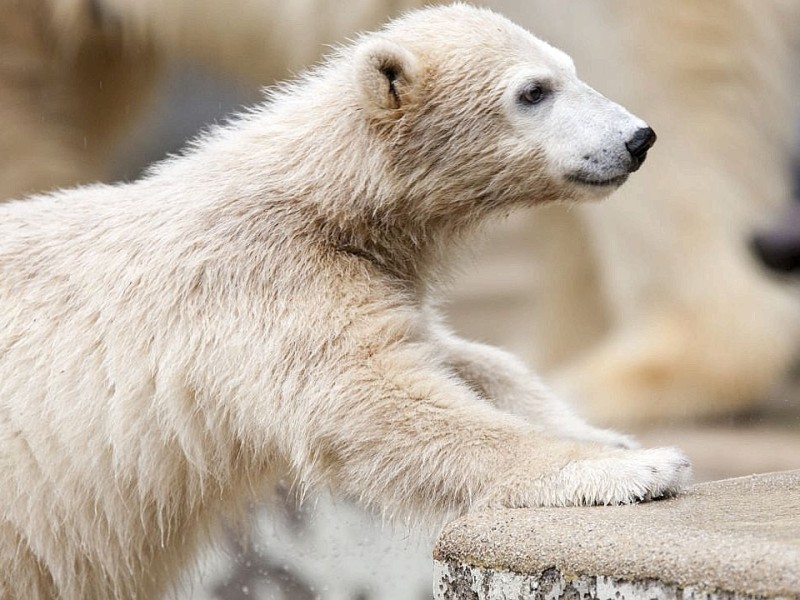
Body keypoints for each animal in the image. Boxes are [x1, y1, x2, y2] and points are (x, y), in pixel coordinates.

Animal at [0, 5, 688, 600]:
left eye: (568, 68)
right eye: (534, 91)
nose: (638, 138)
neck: (319, 200)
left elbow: (466, 359)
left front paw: (608, 438)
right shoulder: (264, 281)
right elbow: (375, 403)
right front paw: (643, 467)